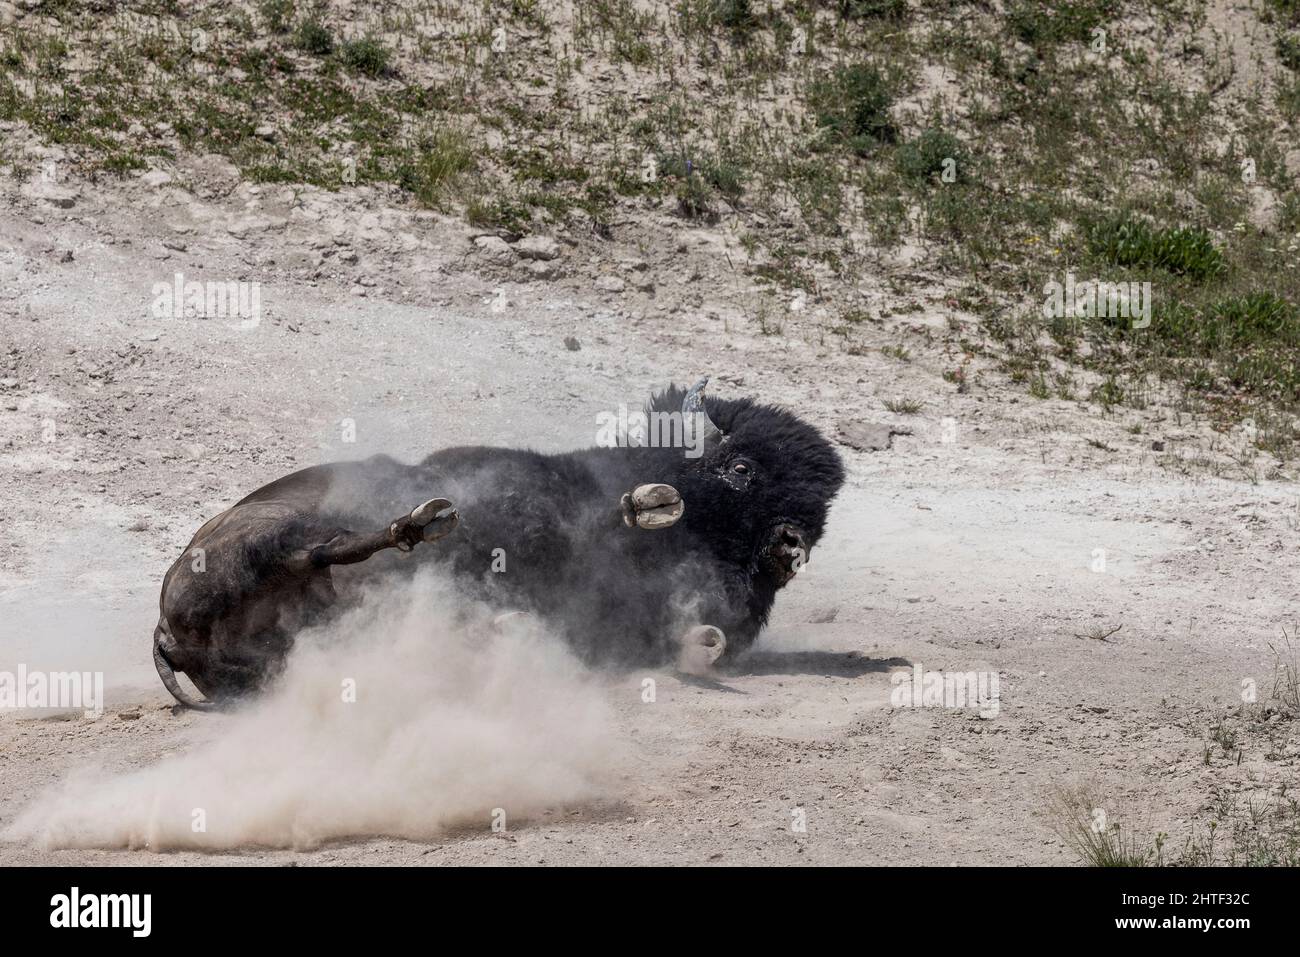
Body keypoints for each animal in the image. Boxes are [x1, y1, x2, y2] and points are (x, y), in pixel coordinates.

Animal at [153, 378, 846, 708]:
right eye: (742, 469)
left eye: (821, 509)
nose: (791, 544)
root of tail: (164, 633)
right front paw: (645, 505)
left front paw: (702, 640)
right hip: (276, 537)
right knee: (327, 549)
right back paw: (427, 524)